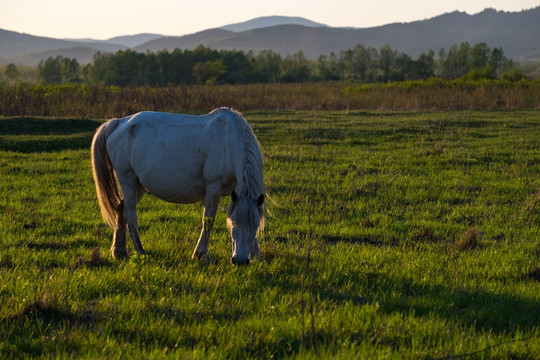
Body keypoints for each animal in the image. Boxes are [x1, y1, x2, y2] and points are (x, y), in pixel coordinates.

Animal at [91, 107, 266, 264]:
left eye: (256, 226)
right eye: (234, 225)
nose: (240, 260)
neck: (227, 141)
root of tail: (119, 123)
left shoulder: (236, 192)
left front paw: (256, 255)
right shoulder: (213, 188)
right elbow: (208, 221)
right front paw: (201, 255)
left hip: (138, 185)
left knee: (121, 209)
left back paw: (119, 252)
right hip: (127, 180)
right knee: (131, 217)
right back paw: (140, 252)